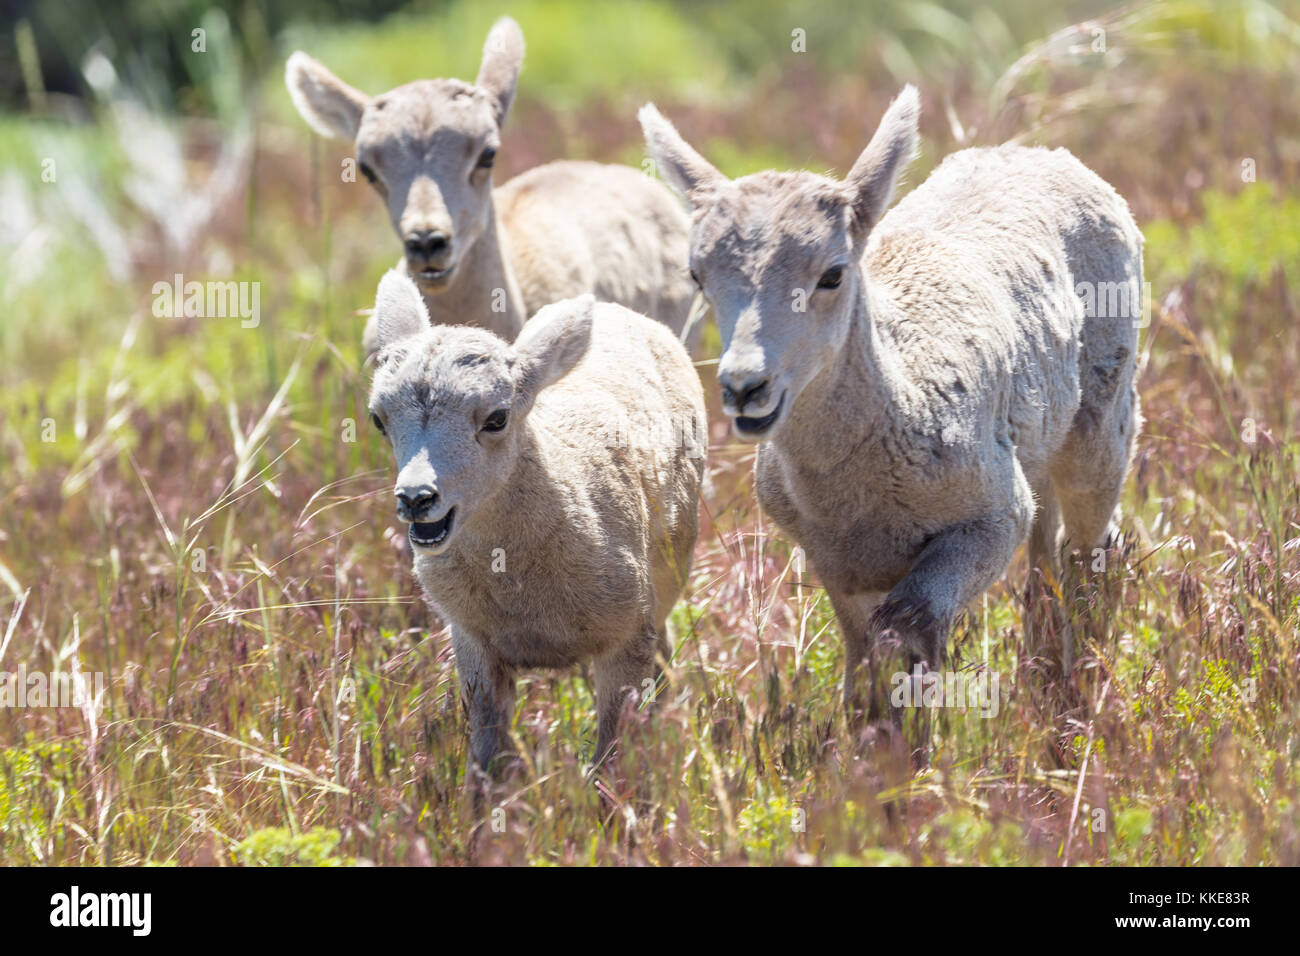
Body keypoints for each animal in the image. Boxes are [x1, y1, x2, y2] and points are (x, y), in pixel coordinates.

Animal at [366, 270, 707, 780]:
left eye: (497, 418)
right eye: (378, 420)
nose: (416, 498)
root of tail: (616, 311)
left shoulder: (628, 636)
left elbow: (609, 762)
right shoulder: (472, 640)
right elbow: (487, 763)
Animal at [644, 89, 1144, 728]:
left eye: (833, 274)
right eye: (697, 276)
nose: (744, 386)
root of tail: (1038, 152)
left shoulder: (988, 519)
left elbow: (908, 639)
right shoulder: (836, 562)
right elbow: (865, 676)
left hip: (1105, 405)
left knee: (1090, 550)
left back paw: (1078, 692)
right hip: (1037, 440)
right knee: (1047, 554)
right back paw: (1046, 673)